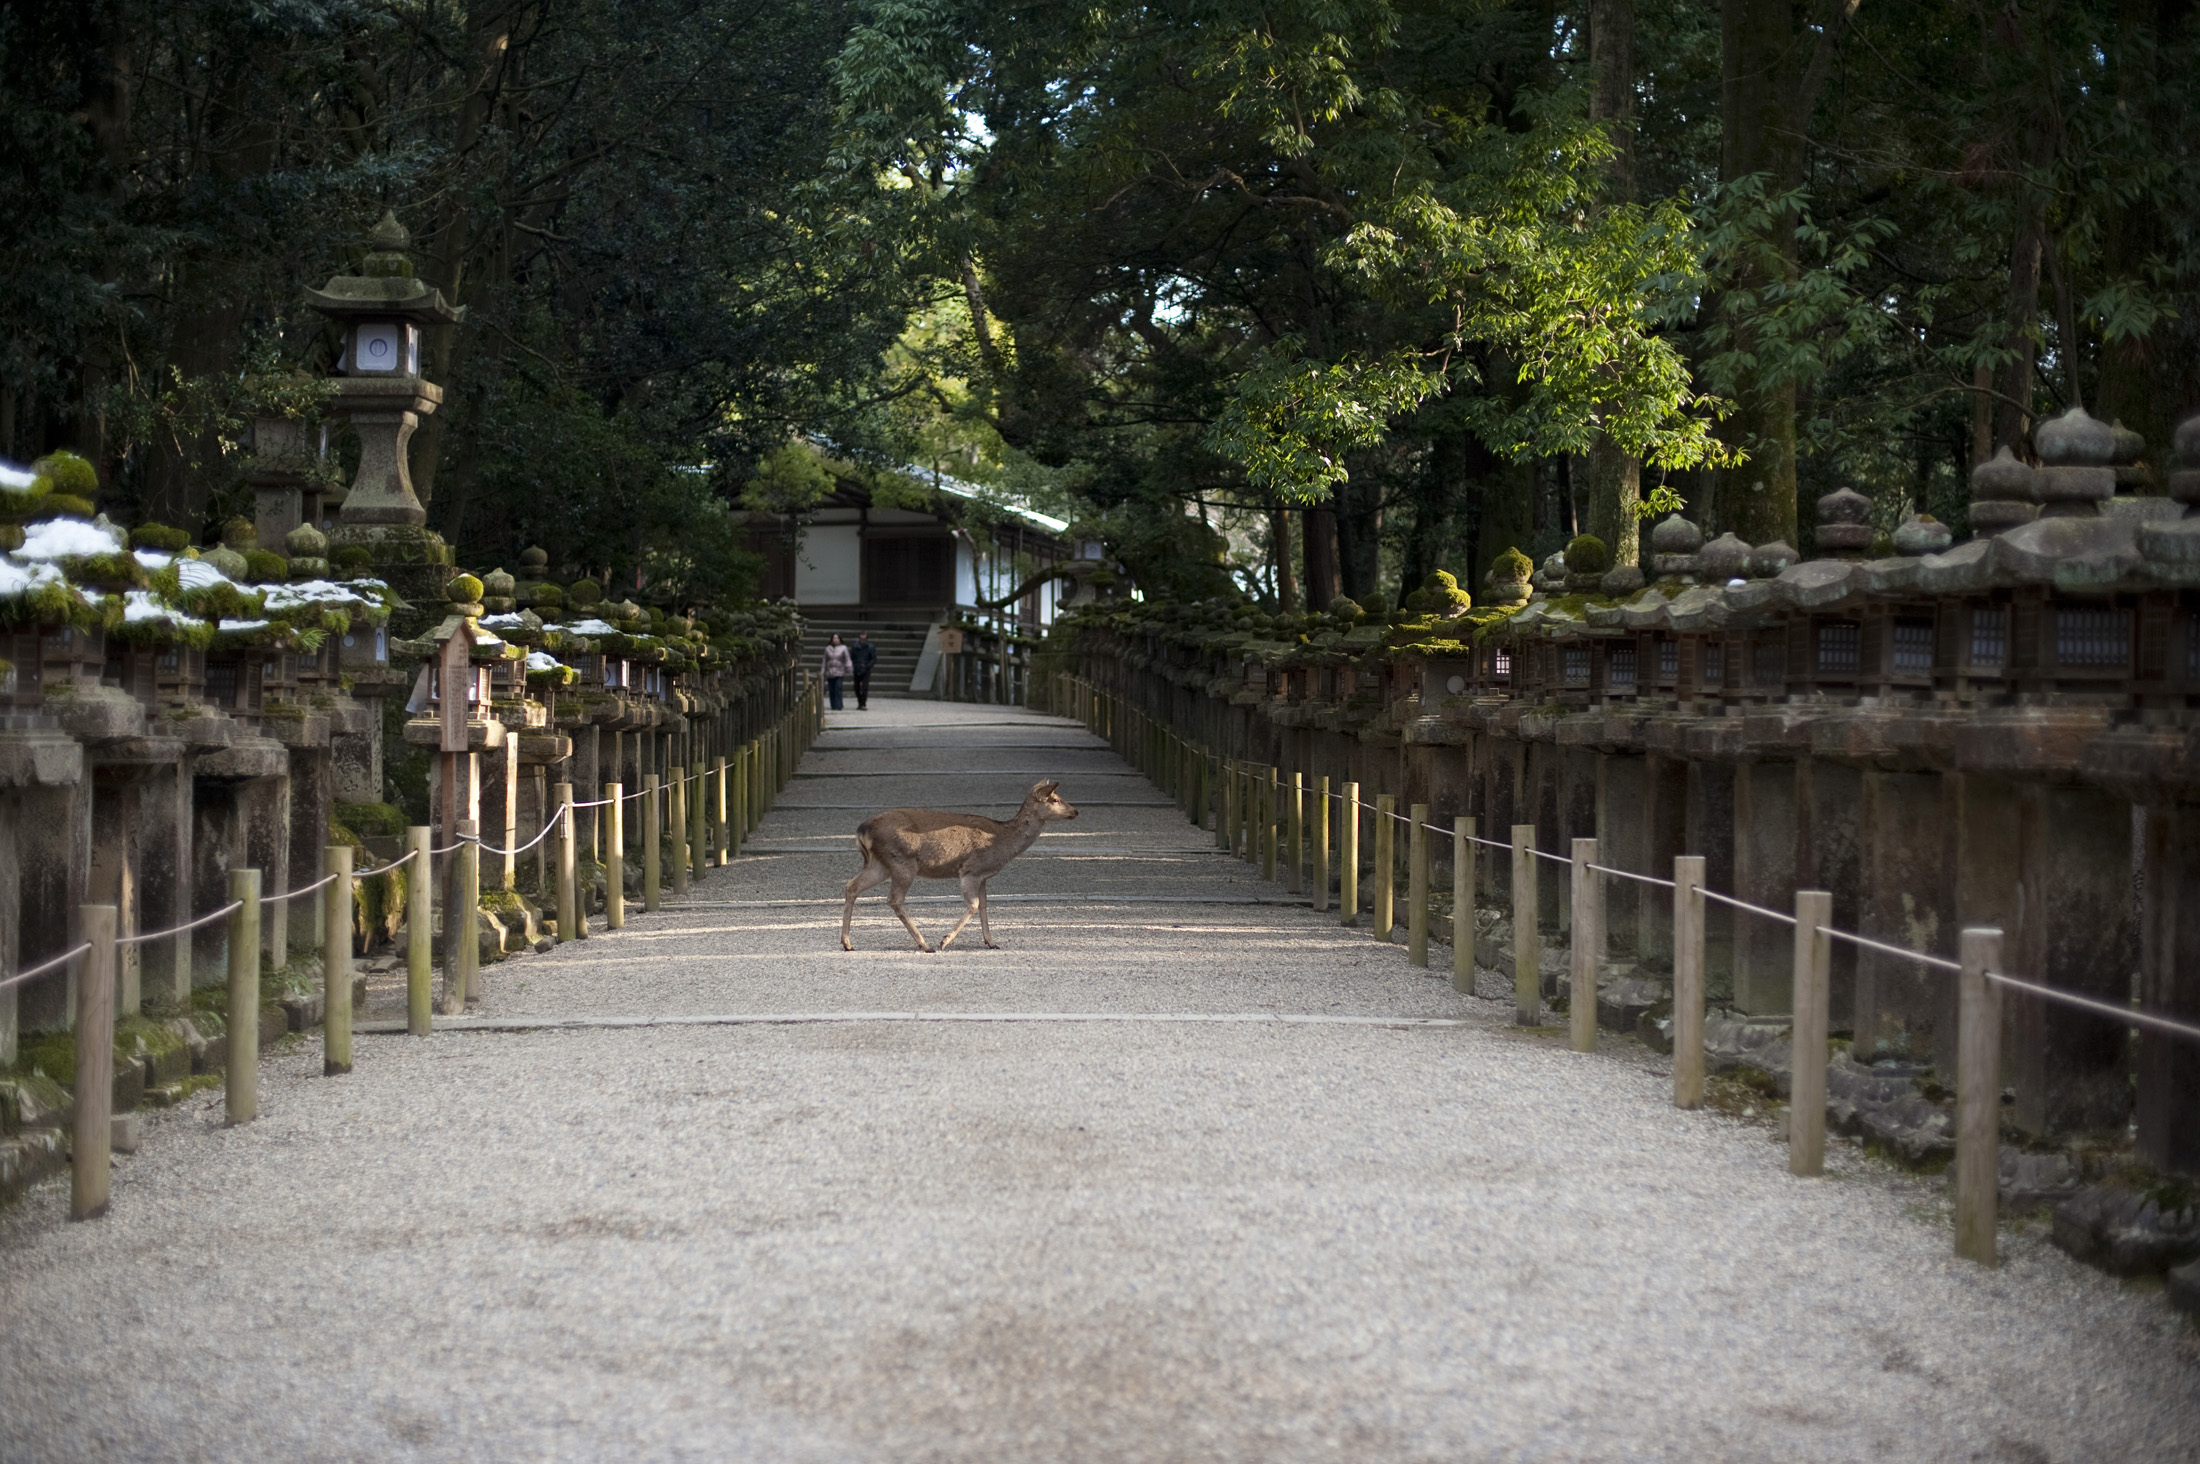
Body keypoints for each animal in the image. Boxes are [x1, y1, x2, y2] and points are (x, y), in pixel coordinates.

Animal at [840, 780, 1079, 952]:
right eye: (1055, 798)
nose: (1075, 811)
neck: (1001, 842)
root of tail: (863, 830)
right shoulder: (970, 870)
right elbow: (974, 905)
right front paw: (944, 941)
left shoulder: (983, 876)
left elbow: (984, 906)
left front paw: (991, 942)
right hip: (902, 862)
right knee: (894, 899)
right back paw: (925, 945)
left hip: (879, 865)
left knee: (851, 886)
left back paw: (847, 943)